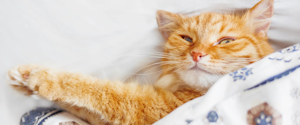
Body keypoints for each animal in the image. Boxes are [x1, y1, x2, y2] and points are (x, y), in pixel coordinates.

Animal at [7, 0, 274, 124]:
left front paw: (40, 77)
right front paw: (25, 85)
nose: (196, 54)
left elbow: (99, 90)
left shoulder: (150, 109)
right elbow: (83, 108)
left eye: (226, 41)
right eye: (187, 39)